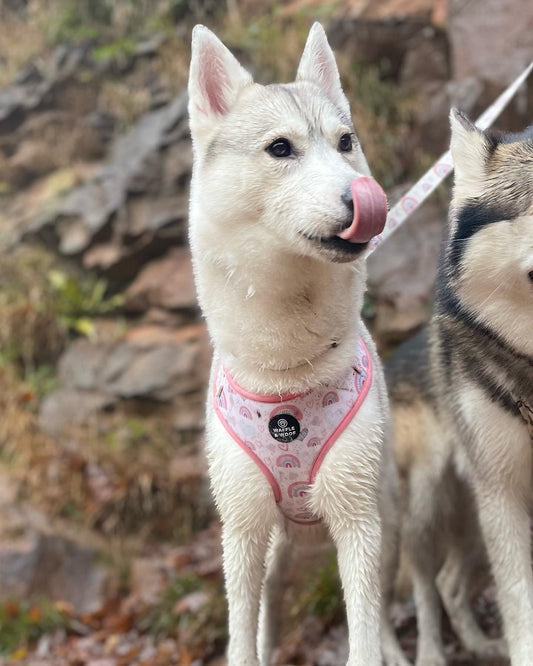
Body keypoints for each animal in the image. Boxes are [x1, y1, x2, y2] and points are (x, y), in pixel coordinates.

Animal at [187, 20, 408, 664]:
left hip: (385, 520)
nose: (365, 193)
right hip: (274, 552)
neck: (286, 369)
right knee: (268, 613)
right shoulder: (240, 530)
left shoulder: (358, 521)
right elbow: (242, 636)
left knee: (387, 610)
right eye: (280, 148)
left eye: (345, 142)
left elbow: (364, 634)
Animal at [386, 110, 532, 664]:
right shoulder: (505, 498)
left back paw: (479, 644)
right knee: (416, 591)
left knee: (448, 584)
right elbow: (522, 609)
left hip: (471, 516)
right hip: (422, 509)